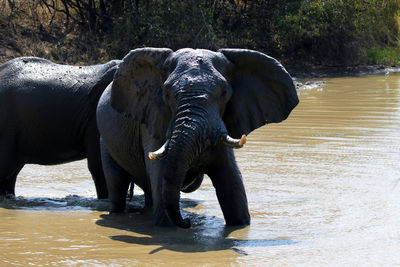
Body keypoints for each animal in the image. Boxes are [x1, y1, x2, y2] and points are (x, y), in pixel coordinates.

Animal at [96, 47, 296, 228]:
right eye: (167, 93)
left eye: (224, 92)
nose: (188, 221)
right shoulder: (154, 119)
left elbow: (232, 184)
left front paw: (240, 226)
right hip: (105, 142)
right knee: (117, 184)